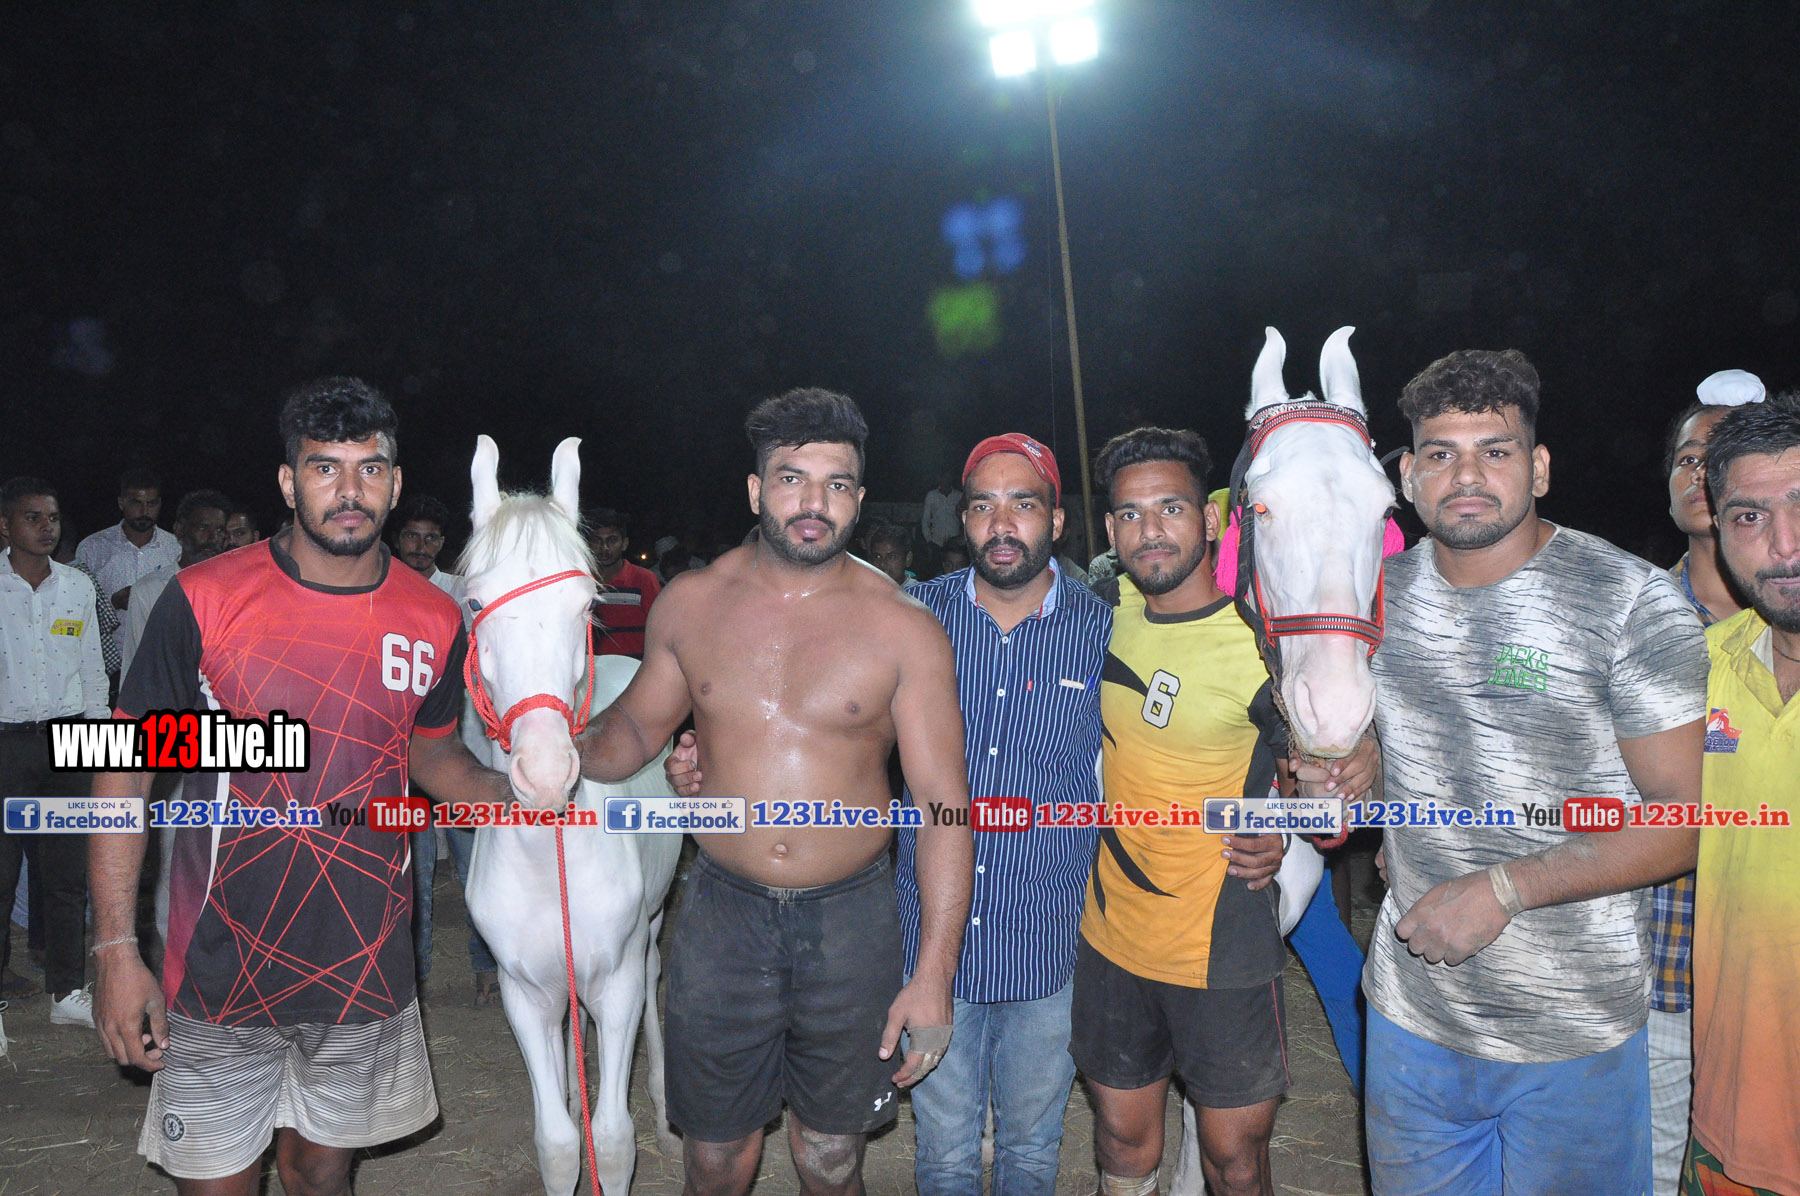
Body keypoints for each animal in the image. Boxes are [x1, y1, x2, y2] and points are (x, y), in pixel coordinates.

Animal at [458, 435, 683, 1196]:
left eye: (585, 605)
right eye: (473, 602)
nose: (547, 774)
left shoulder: (615, 986)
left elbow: (611, 1140)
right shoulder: (524, 995)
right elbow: (557, 1142)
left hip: (650, 932)